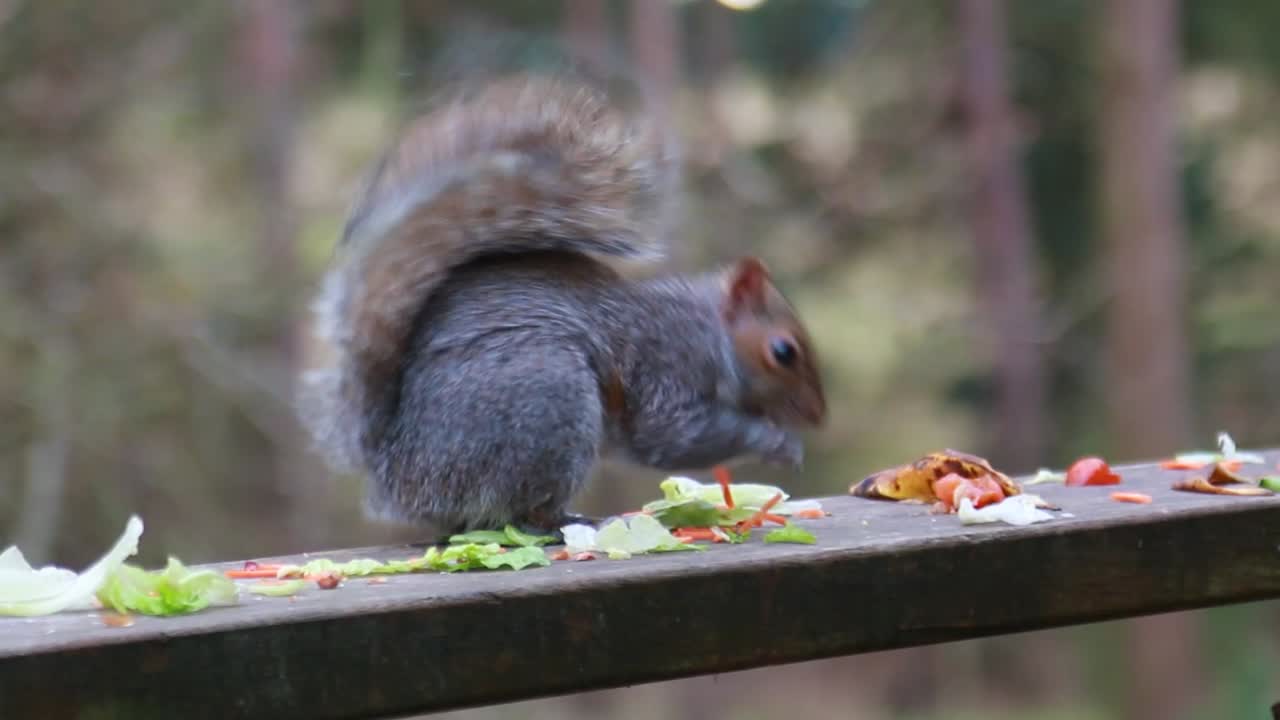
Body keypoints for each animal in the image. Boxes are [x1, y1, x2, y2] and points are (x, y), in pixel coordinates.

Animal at [300, 69, 827, 536]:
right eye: (783, 352)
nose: (817, 417)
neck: (713, 333)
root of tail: (398, 476)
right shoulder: (669, 365)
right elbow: (672, 435)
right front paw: (777, 442)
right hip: (548, 401)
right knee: (516, 507)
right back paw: (563, 524)